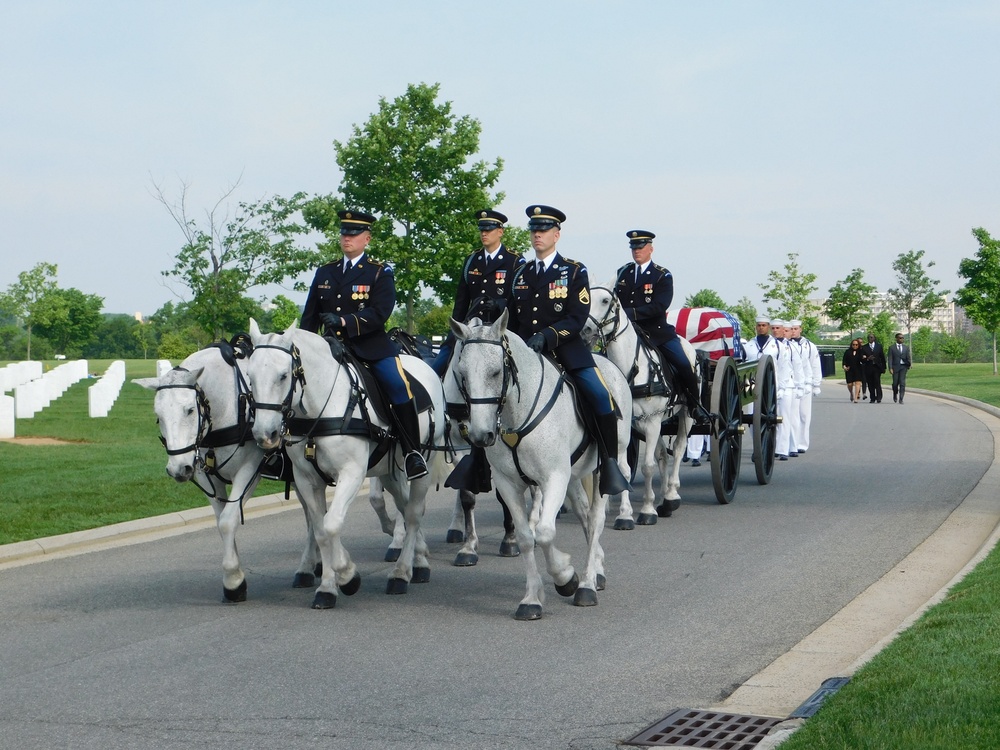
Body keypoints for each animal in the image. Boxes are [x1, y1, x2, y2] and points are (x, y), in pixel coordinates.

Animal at [244, 318, 444, 612]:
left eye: (283, 375)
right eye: (250, 377)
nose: (264, 435)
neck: (322, 407)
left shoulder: (351, 473)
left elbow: (331, 524)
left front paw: (348, 575)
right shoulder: (307, 480)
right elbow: (319, 531)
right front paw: (327, 588)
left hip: (422, 462)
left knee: (414, 513)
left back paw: (401, 572)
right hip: (390, 472)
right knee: (404, 506)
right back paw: (418, 559)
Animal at [454, 312, 632, 624]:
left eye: (495, 372)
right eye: (462, 374)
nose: (479, 435)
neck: (515, 414)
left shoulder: (554, 478)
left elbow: (546, 532)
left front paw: (566, 577)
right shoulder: (509, 484)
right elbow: (527, 537)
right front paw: (531, 599)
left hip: (604, 466)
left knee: (596, 519)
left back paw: (587, 584)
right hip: (573, 477)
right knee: (584, 516)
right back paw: (596, 570)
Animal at [584, 288, 696, 528]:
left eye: (605, 301)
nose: (584, 330)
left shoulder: (652, 423)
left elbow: (647, 466)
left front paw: (646, 510)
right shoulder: (626, 427)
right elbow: (624, 467)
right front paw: (623, 513)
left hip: (686, 415)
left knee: (679, 448)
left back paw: (671, 494)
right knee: (663, 453)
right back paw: (663, 500)